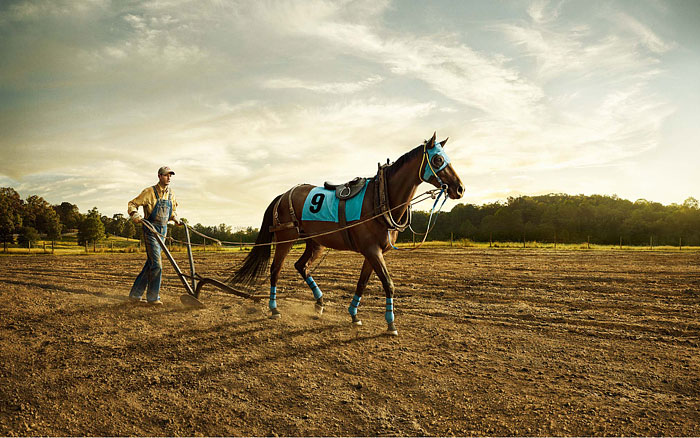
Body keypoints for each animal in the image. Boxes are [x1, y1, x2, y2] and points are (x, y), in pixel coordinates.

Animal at [227, 133, 462, 336]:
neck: (380, 198)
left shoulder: (373, 253)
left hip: (315, 242)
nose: (460, 188)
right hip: (286, 238)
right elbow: (388, 284)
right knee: (275, 270)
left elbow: (362, 283)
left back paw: (319, 302)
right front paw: (391, 323)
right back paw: (274, 308)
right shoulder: (372, 251)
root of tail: (283, 195)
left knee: (301, 266)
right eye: (438, 159)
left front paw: (354, 314)